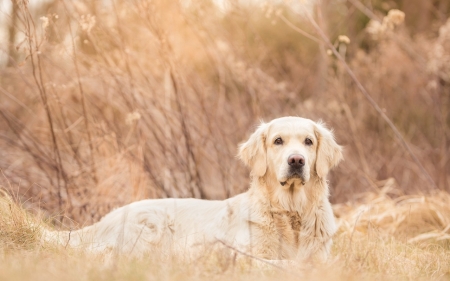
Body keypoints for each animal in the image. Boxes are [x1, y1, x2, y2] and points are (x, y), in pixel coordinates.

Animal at [44, 115, 342, 260]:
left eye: (308, 141)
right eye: (278, 141)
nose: (296, 161)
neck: (291, 212)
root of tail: (103, 221)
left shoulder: (321, 258)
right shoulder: (251, 256)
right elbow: (282, 264)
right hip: (150, 225)